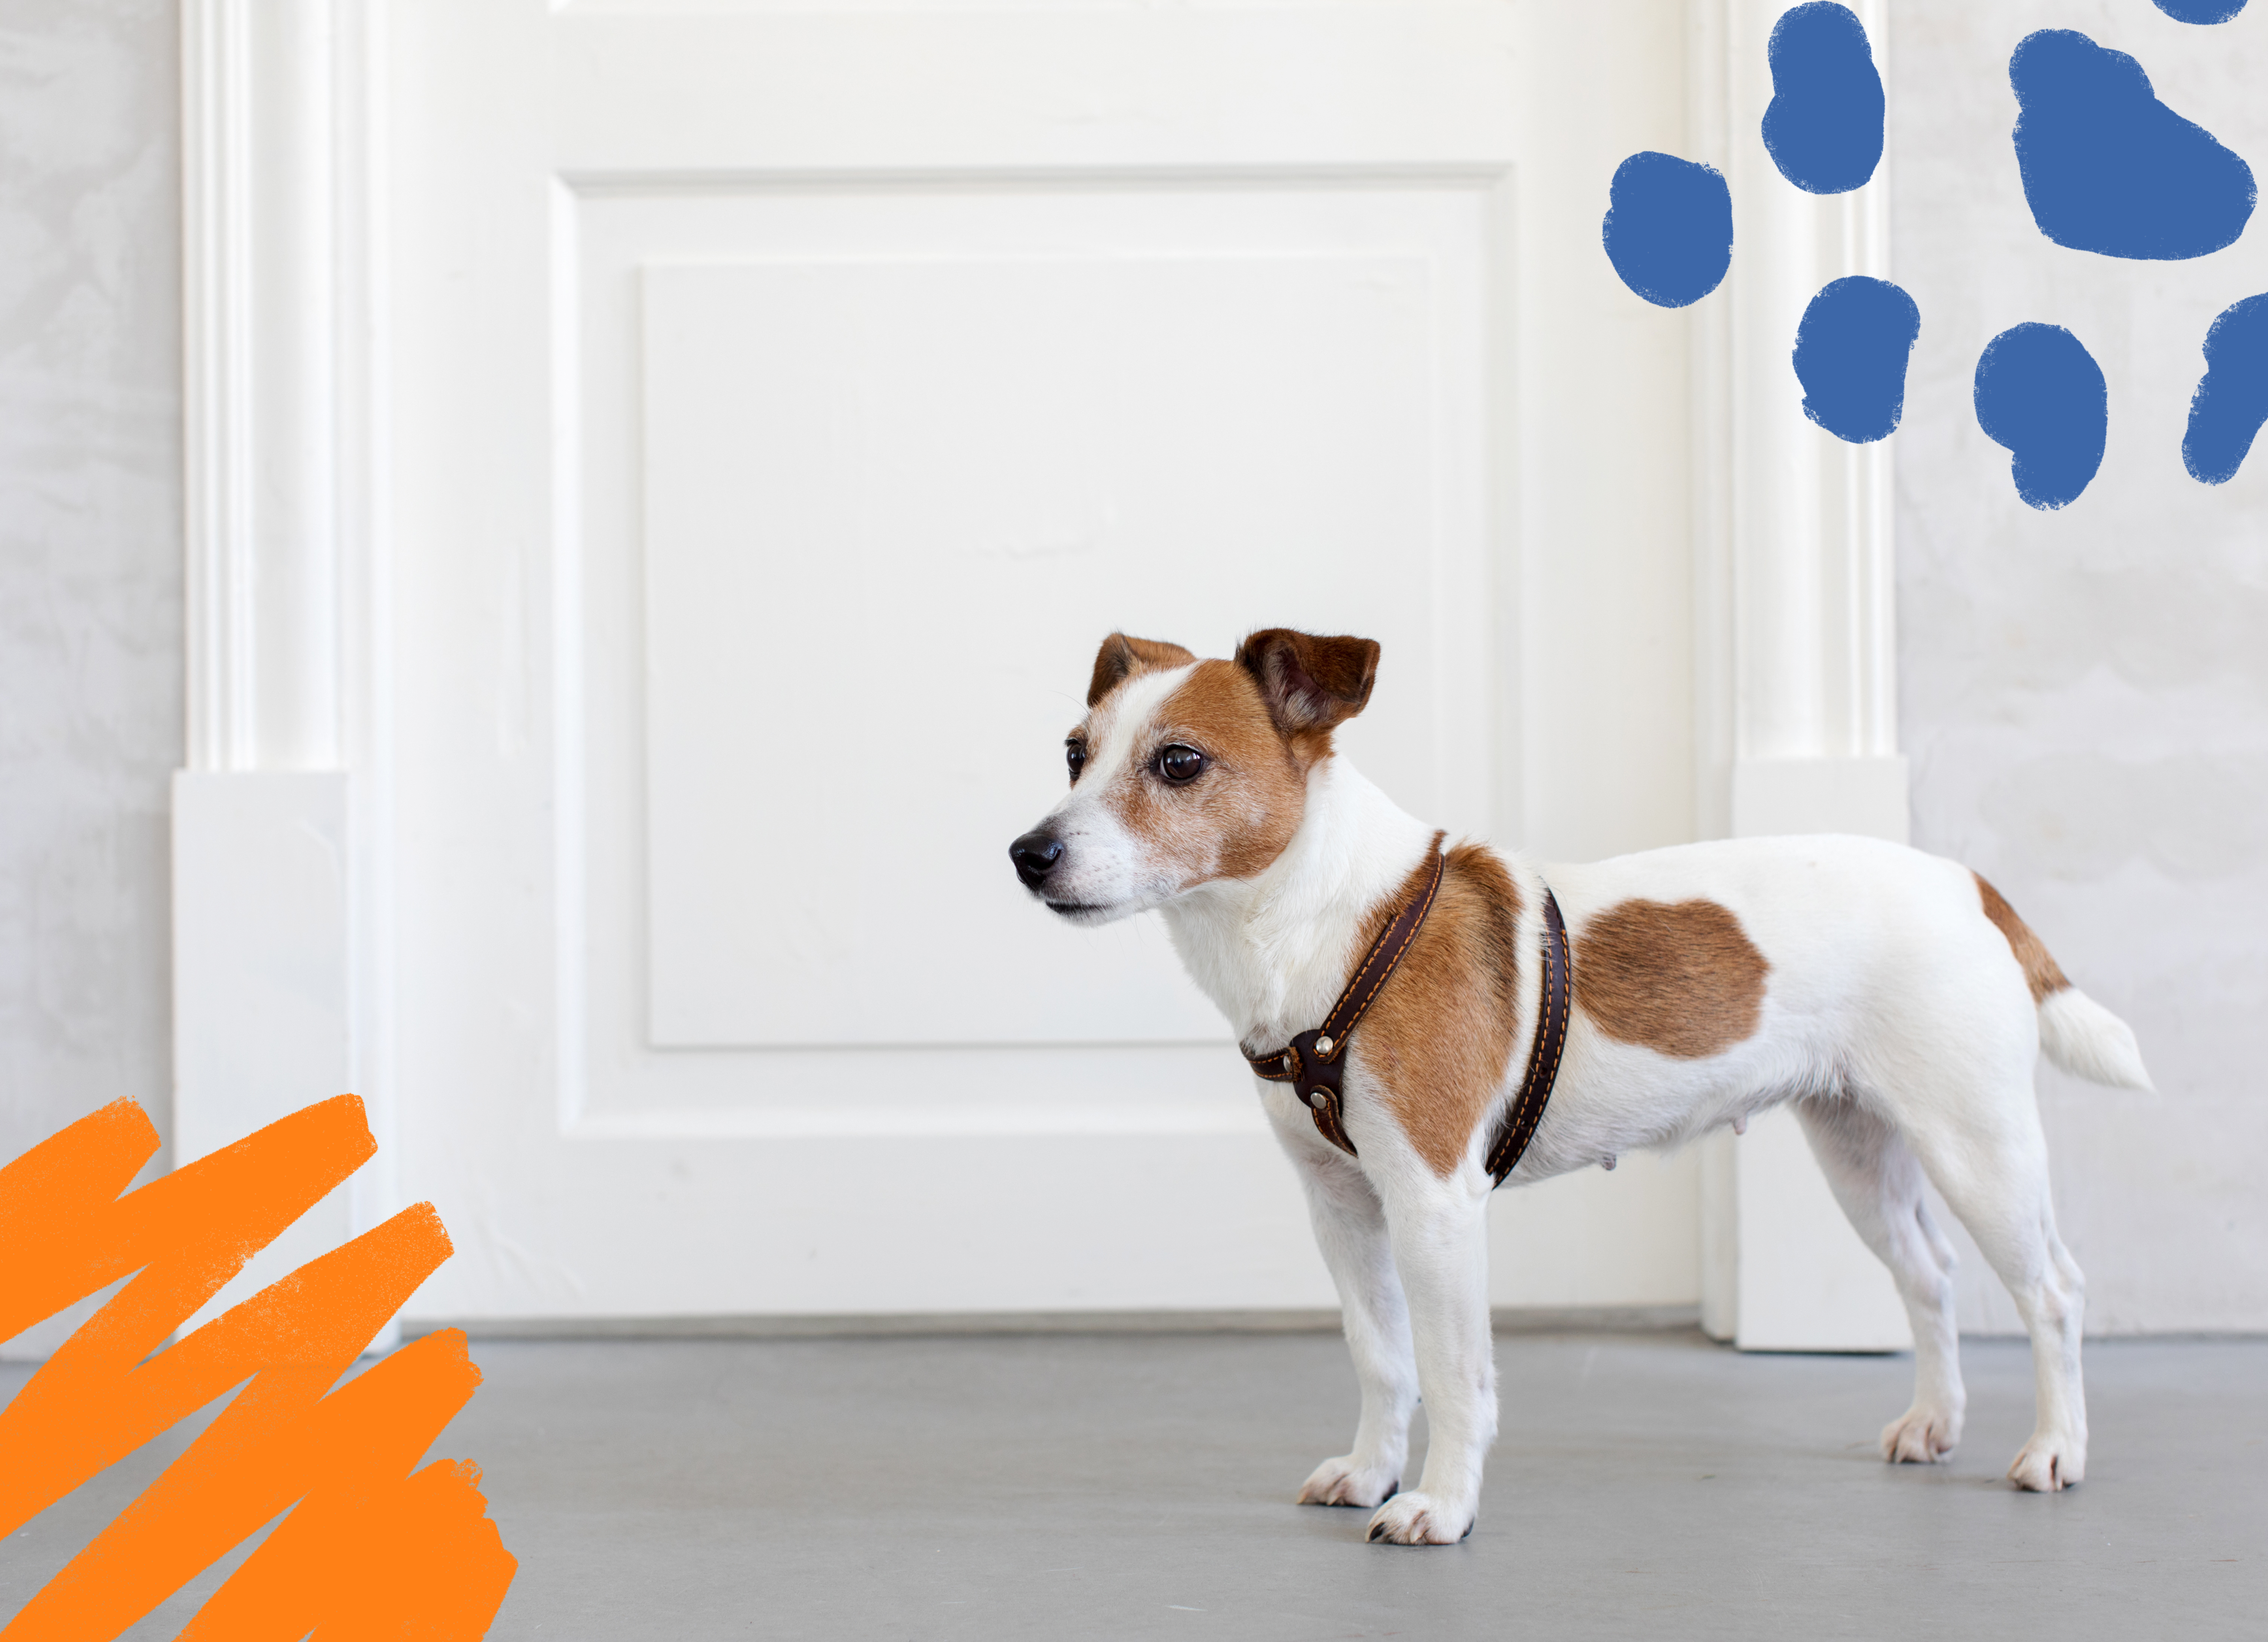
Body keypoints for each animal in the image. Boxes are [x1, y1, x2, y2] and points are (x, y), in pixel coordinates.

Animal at [1007, 626, 2141, 1542]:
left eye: (1179, 762)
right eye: (1073, 754)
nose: (1028, 853)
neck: (1331, 926)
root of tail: (1961, 882)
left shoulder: (1433, 1205)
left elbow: (1454, 1376)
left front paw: (1439, 1505)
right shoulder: (1343, 1210)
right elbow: (1382, 1355)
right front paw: (1372, 1472)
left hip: (1978, 1150)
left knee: (2053, 1291)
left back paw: (2056, 1449)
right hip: (1863, 1156)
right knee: (1929, 1275)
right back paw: (1936, 1422)